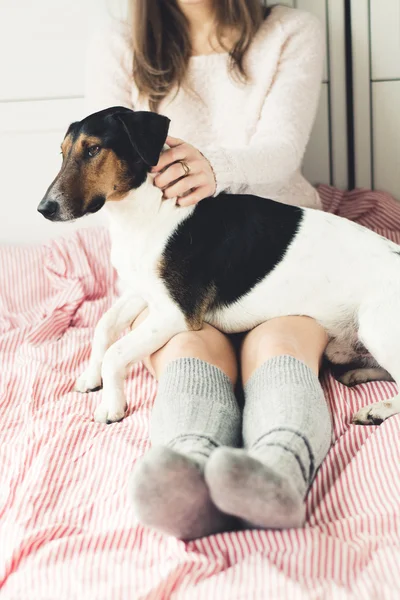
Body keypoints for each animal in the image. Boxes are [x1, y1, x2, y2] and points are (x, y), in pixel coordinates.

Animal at [37, 108, 400, 426]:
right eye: (62, 153)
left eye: (93, 149)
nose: (44, 209)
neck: (146, 213)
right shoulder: (145, 292)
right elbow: (104, 327)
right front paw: (90, 376)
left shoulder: (177, 313)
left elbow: (116, 351)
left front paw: (111, 406)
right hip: (350, 345)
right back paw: (359, 375)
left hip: (375, 326)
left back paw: (376, 409)